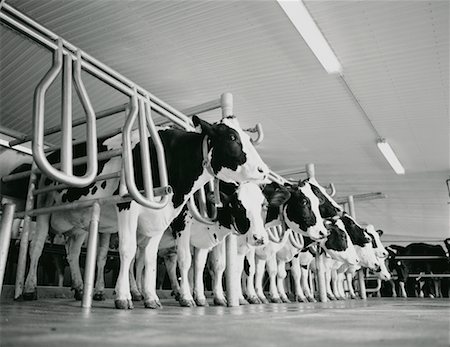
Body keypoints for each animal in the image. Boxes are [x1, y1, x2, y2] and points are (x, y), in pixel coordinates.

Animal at [8, 115, 268, 310]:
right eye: (232, 137)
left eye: (262, 205)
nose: (263, 170)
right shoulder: (131, 206)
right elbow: (130, 251)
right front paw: (124, 297)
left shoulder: (163, 217)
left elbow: (151, 259)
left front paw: (151, 297)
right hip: (43, 207)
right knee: (37, 246)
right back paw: (29, 288)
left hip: (81, 220)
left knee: (73, 253)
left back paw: (83, 288)